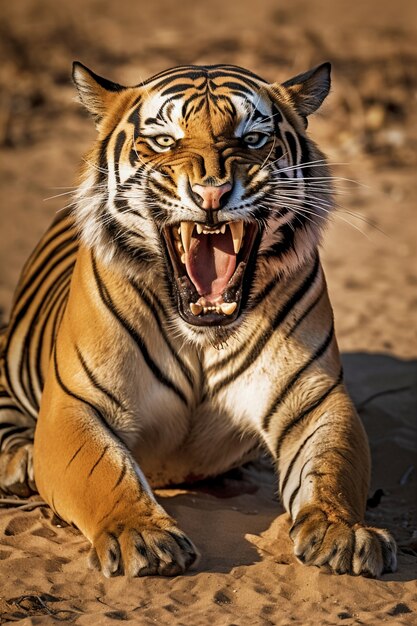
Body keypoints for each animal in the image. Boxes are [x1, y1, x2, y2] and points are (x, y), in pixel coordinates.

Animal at [0, 59, 396, 576]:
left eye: (253, 138)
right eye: (165, 140)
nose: (213, 192)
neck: (203, 334)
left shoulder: (315, 398)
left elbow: (334, 468)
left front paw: (343, 532)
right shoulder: (78, 402)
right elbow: (103, 473)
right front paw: (140, 535)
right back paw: (21, 461)